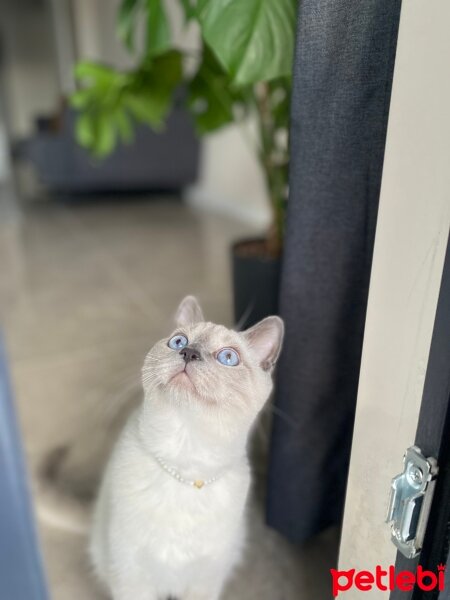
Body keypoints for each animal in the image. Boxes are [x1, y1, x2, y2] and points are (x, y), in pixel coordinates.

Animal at [89, 296, 284, 600]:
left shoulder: (204, 583)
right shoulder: (132, 578)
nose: (189, 352)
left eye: (228, 358)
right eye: (179, 341)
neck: (185, 462)